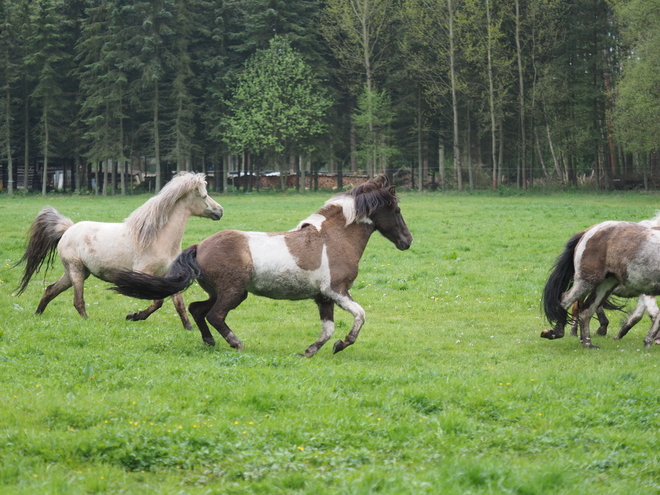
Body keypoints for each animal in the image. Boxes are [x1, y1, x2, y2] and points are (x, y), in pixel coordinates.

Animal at [12, 171, 223, 330]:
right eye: (204, 195)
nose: (220, 211)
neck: (158, 237)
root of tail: (68, 229)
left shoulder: (169, 275)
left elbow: (177, 303)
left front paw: (188, 327)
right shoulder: (144, 273)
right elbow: (158, 302)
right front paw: (134, 316)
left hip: (75, 272)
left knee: (50, 290)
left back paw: (38, 314)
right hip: (77, 270)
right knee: (78, 301)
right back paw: (86, 320)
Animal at [112, 174, 412, 356]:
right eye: (397, 210)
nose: (407, 241)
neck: (333, 238)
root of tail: (200, 246)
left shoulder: (323, 297)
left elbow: (327, 329)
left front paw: (309, 351)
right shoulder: (337, 291)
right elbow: (360, 315)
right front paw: (343, 344)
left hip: (220, 291)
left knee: (198, 309)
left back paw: (209, 341)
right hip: (234, 292)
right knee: (215, 315)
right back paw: (235, 343)